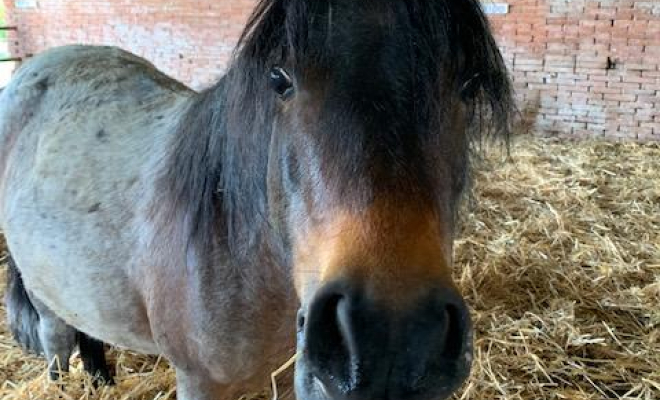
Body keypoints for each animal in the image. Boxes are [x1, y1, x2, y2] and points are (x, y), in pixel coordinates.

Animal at [0, 0, 512, 400]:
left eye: (468, 84)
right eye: (280, 78)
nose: (391, 341)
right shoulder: (199, 381)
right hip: (45, 297)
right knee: (57, 345)